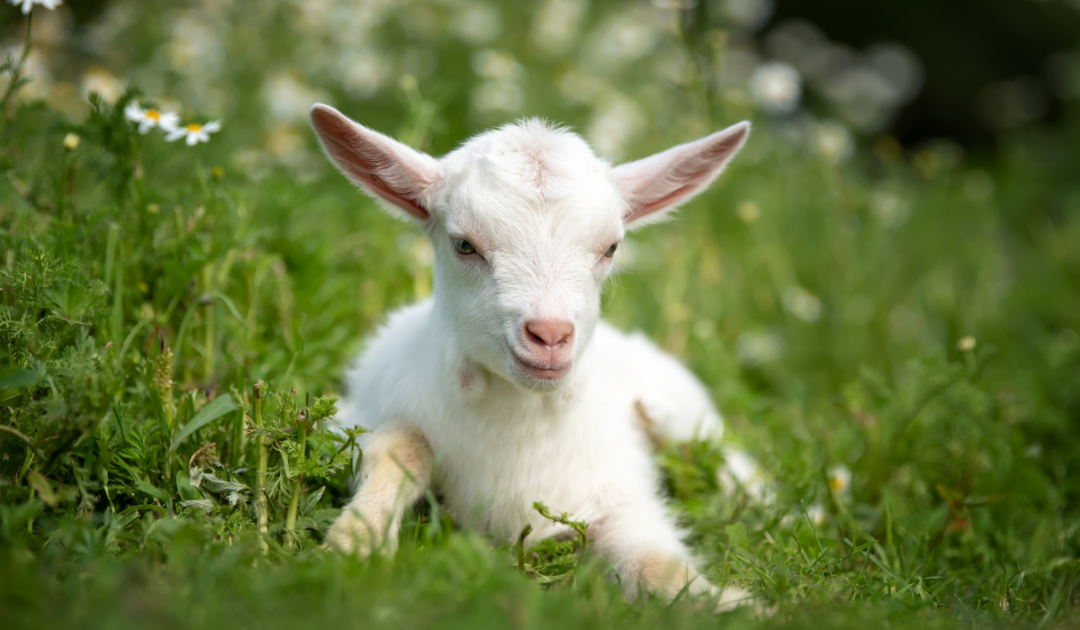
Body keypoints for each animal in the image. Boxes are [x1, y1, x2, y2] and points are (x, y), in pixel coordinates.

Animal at [310, 103, 752, 608]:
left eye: (611, 247)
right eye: (464, 244)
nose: (550, 335)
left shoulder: (619, 493)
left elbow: (657, 565)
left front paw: (736, 605)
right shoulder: (350, 419)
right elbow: (401, 445)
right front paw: (353, 545)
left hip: (686, 417)